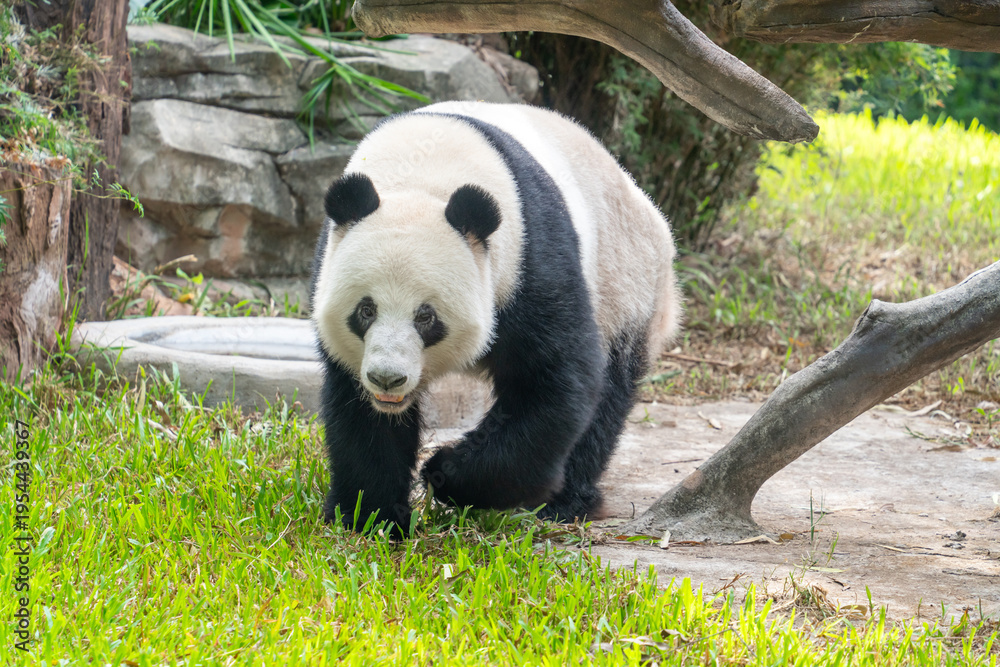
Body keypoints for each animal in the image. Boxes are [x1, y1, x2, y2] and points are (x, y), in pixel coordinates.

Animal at [311, 101, 681, 536]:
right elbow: (359, 412)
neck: (422, 174)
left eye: (426, 317)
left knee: (609, 392)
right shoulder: (329, 260)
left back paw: (566, 501)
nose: (388, 378)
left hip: (626, 287)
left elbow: (552, 381)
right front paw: (370, 517)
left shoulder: (530, 256)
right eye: (366, 310)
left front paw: (446, 472)